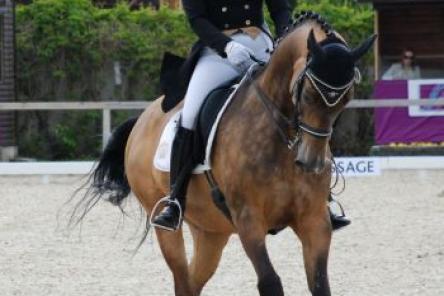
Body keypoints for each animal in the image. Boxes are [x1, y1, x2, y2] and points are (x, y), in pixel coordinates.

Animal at [72, 11, 374, 296]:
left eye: (346, 99)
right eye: (309, 94)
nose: (311, 162)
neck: (281, 139)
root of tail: (143, 119)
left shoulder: (314, 221)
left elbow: (320, 284)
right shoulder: (248, 221)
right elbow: (270, 283)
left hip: (210, 232)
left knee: (192, 282)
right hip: (166, 223)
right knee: (181, 276)